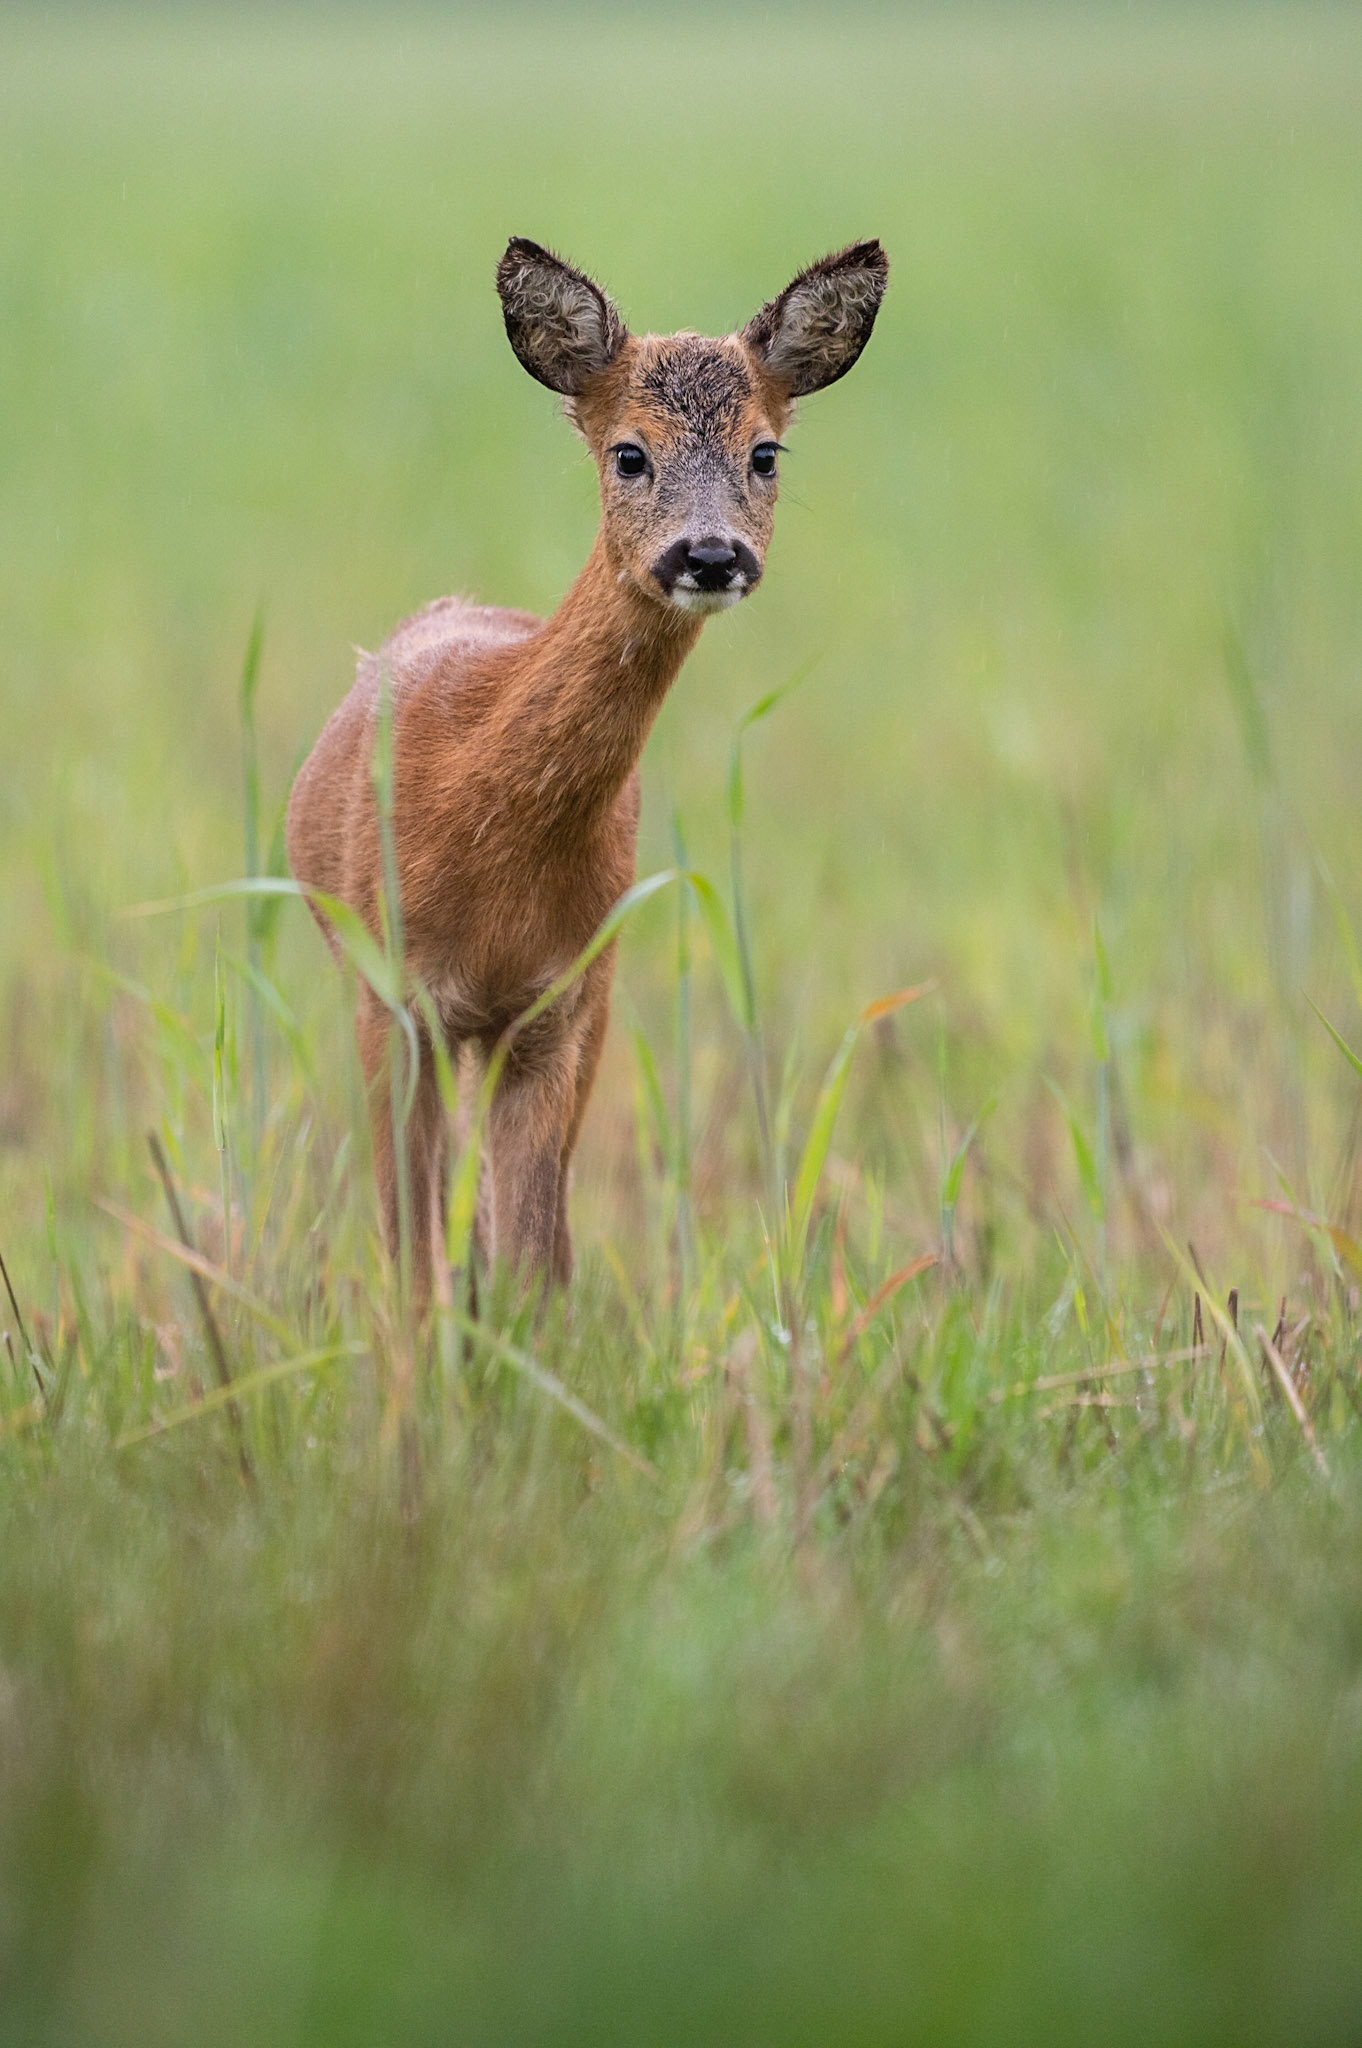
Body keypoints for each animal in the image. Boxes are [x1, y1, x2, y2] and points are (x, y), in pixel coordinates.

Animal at [286, 235, 889, 1310]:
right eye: (630, 452)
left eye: (765, 453)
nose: (710, 554)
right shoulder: (392, 992)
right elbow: (413, 1260)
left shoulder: (554, 1003)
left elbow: (528, 1258)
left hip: (590, 1000)